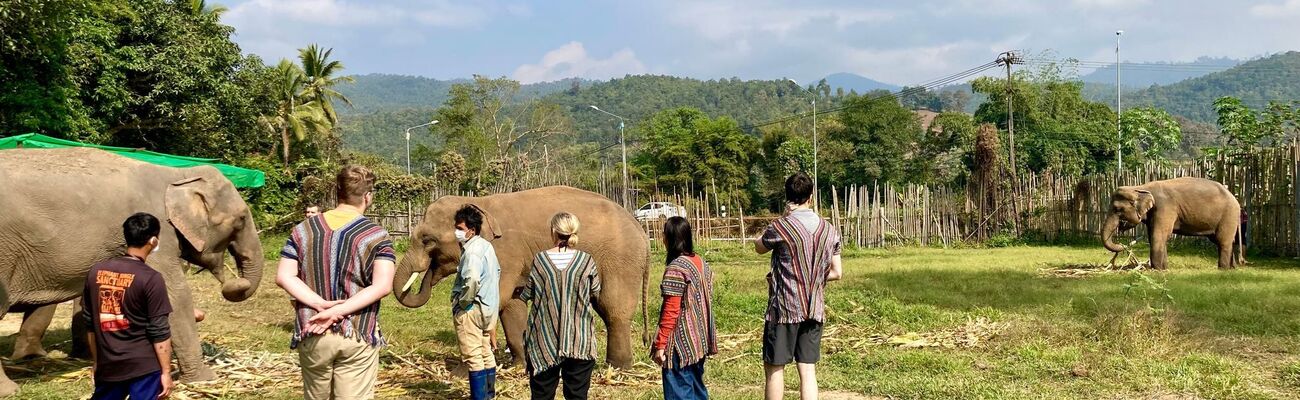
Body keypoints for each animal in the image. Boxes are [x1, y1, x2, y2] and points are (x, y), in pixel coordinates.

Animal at [0, 147, 261, 397]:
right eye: (241, 219)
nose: (234, 283)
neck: (178, 174)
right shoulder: (158, 233)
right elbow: (174, 295)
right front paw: (205, 378)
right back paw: (12, 389)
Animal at [387, 187, 647, 368]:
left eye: (428, 240)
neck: (481, 204)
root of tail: (640, 227)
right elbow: (511, 305)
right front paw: (519, 365)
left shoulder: (504, 253)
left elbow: (495, 298)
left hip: (621, 261)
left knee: (613, 308)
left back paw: (618, 368)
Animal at [1102, 177, 1242, 268]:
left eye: (1117, 209)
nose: (1122, 242)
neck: (1140, 187)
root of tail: (1234, 198)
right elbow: (1155, 235)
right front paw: (1164, 268)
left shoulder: (1165, 207)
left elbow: (1159, 235)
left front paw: (1157, 269)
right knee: (1225, 241)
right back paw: (1232, 268)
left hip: (1229, 215)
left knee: (1223, 241)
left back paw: (1222, 269)